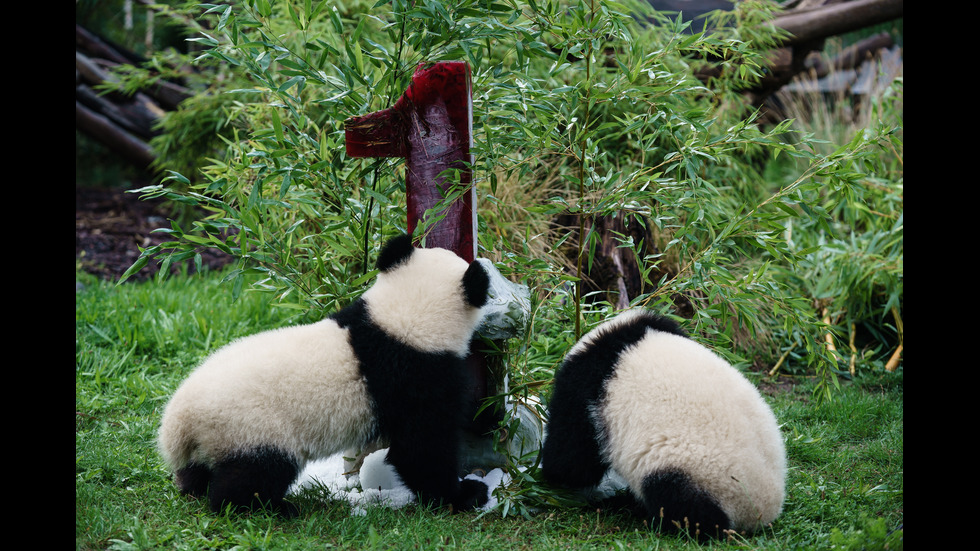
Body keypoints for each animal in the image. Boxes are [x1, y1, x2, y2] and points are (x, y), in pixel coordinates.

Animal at [159, 236, 490, 516]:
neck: (403, 322)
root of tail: (180, 421)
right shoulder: (414, 377)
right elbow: (421, 450)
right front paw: (466, 494)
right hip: (252, 426)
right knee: (257, 473)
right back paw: (266, 507)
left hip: (216, 438)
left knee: (200, 469)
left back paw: (196, 487)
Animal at [540, 310, 784, 544]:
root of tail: (761, 513)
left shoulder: (587, 390)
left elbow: (573, 459)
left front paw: (550, 471)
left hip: (698, 473)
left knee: (681, 503)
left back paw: (648, 516)